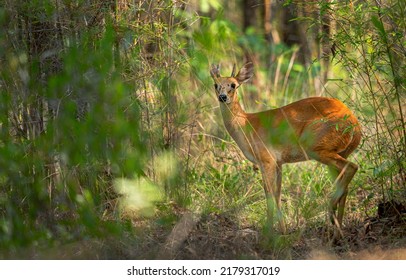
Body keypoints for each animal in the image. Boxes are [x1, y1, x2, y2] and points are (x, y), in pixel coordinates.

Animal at [211, 61, 360, 234]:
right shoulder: (279, 162)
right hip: (339, 151)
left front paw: (268, 231)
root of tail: (355, 125)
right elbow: (277, 194)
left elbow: (268, 194)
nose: (223, 97)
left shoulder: (266, 159)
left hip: (317, 147)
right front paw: (283, 230)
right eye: (215, 84)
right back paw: (337, 229)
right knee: (345, 183)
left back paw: (331, 214)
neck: (246, 125)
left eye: (233, 85)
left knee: (352, 167)